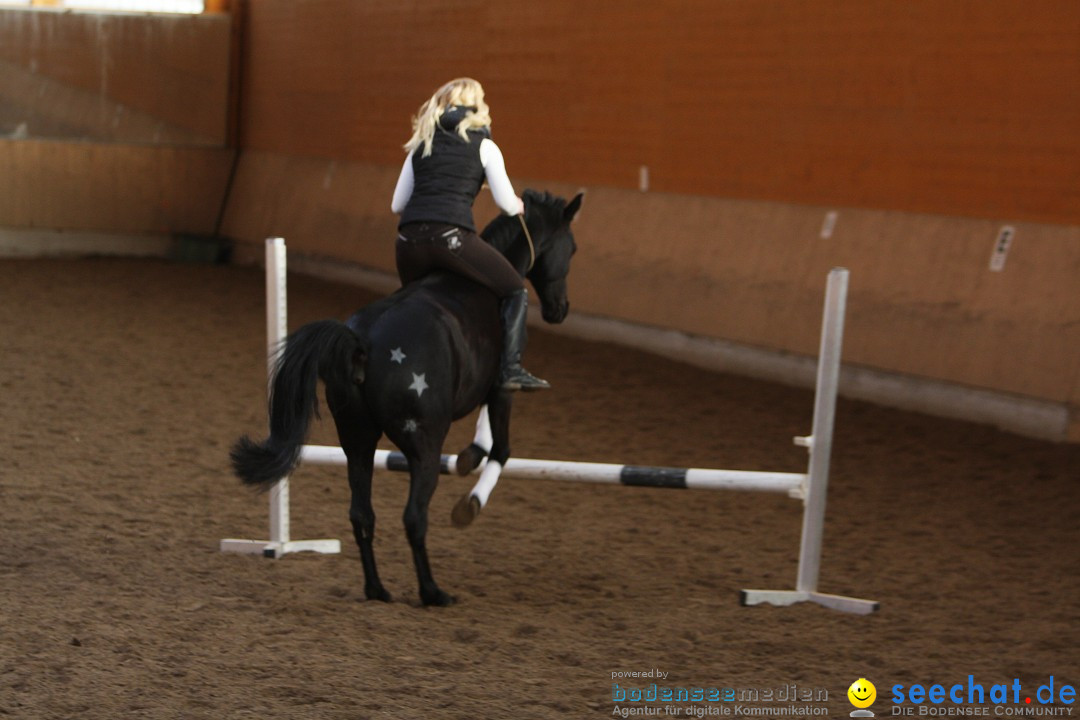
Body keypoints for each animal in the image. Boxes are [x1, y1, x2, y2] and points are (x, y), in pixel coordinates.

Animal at [228, 188, 583, 604]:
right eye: (572, 248)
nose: (561, 310)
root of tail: (362, 341)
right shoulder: (502, 389)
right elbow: (501, 449)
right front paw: (469, 503)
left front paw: (469, 456)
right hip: (423, 446)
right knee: (414, 516)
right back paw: (432, 592)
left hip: (357, 442)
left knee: (361, 514)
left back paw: (376, 589)